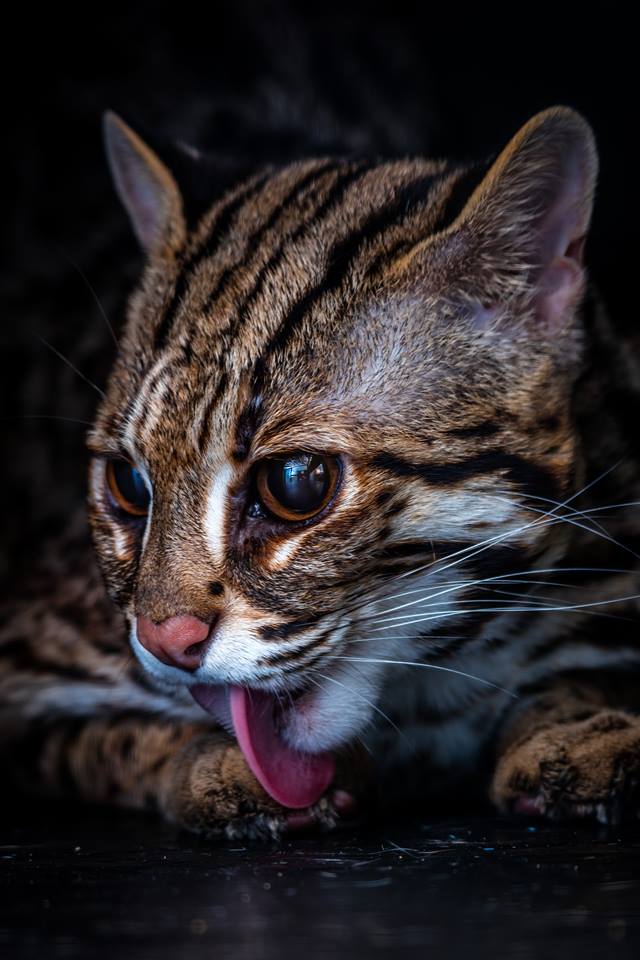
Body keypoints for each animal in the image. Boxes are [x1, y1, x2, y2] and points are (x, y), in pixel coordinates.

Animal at [1, 107, 640, 840]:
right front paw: (219, 762)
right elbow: (113, 738)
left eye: (296, 482)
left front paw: (579, 733)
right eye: (129, 487)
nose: (166, 642)